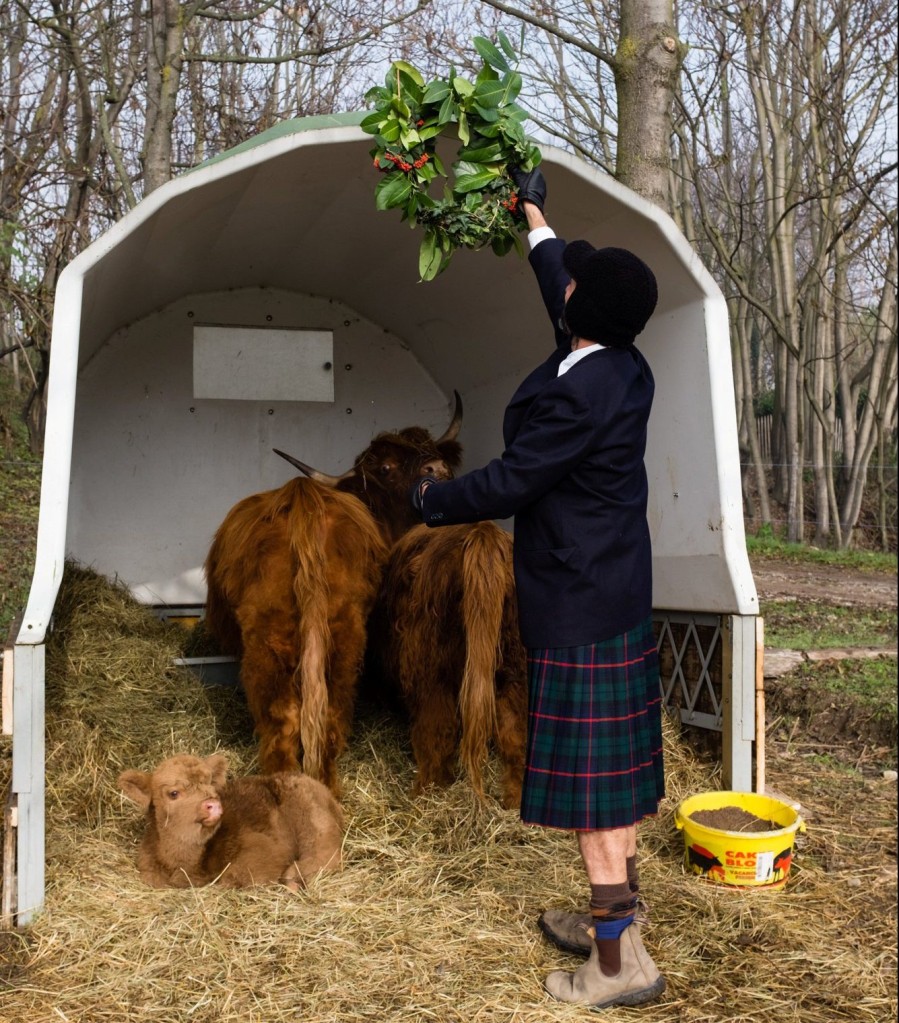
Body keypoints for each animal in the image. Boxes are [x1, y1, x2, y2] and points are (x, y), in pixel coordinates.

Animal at [117, 752, 343, 887]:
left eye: (210, 783)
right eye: (174, 793)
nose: (212, 803)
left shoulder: (264, 850)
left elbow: (235, 876)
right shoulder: (147, 867)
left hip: (313, 818)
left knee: (326, 853)